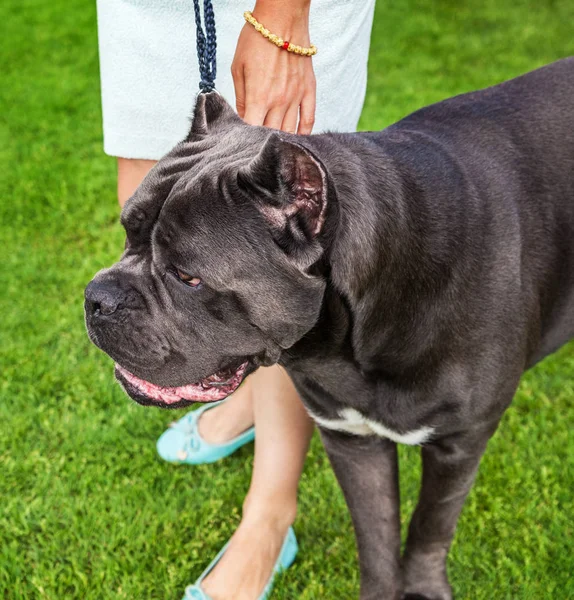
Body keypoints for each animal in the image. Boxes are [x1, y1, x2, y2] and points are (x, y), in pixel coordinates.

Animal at [85, 57, 574, 600]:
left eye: (188, 277)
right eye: (128, 231)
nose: (97, 298)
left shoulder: (460, 442)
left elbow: (430, 528)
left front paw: (424, 587)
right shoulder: (351, 438)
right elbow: (376, 538)